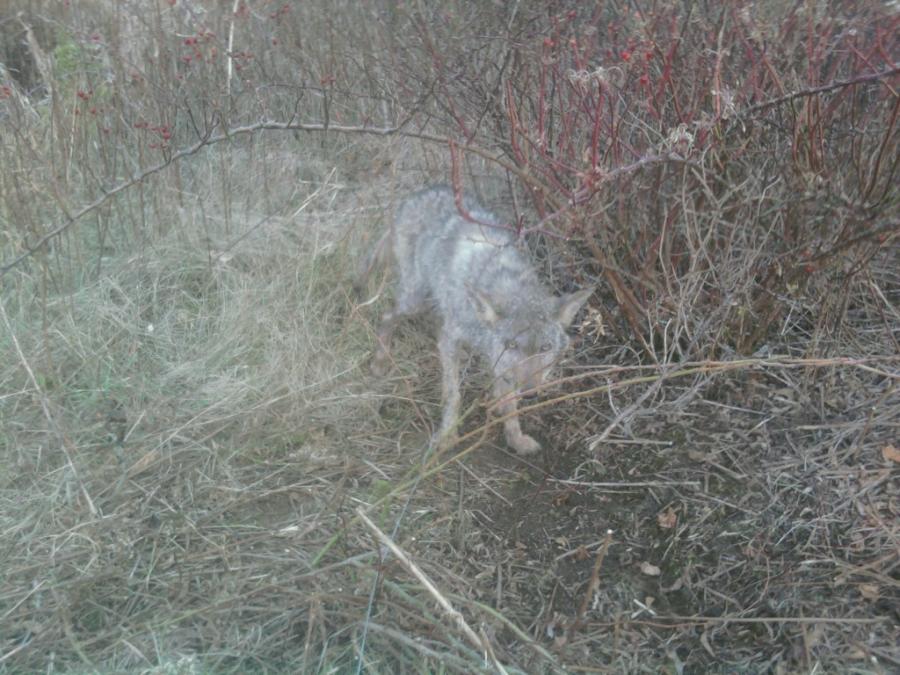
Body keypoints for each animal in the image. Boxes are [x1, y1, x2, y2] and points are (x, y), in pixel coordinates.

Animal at [360, 186, 593, 455]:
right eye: (512, 345)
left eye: (545, 347)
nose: (530, 394)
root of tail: (417, 195)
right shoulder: (459, 341)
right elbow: (454, 394)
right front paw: (447, 436)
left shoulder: (499, 363)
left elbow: (509, 404)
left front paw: (515, 438)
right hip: (415, 300)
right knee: (388, 316)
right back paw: (379, 363)